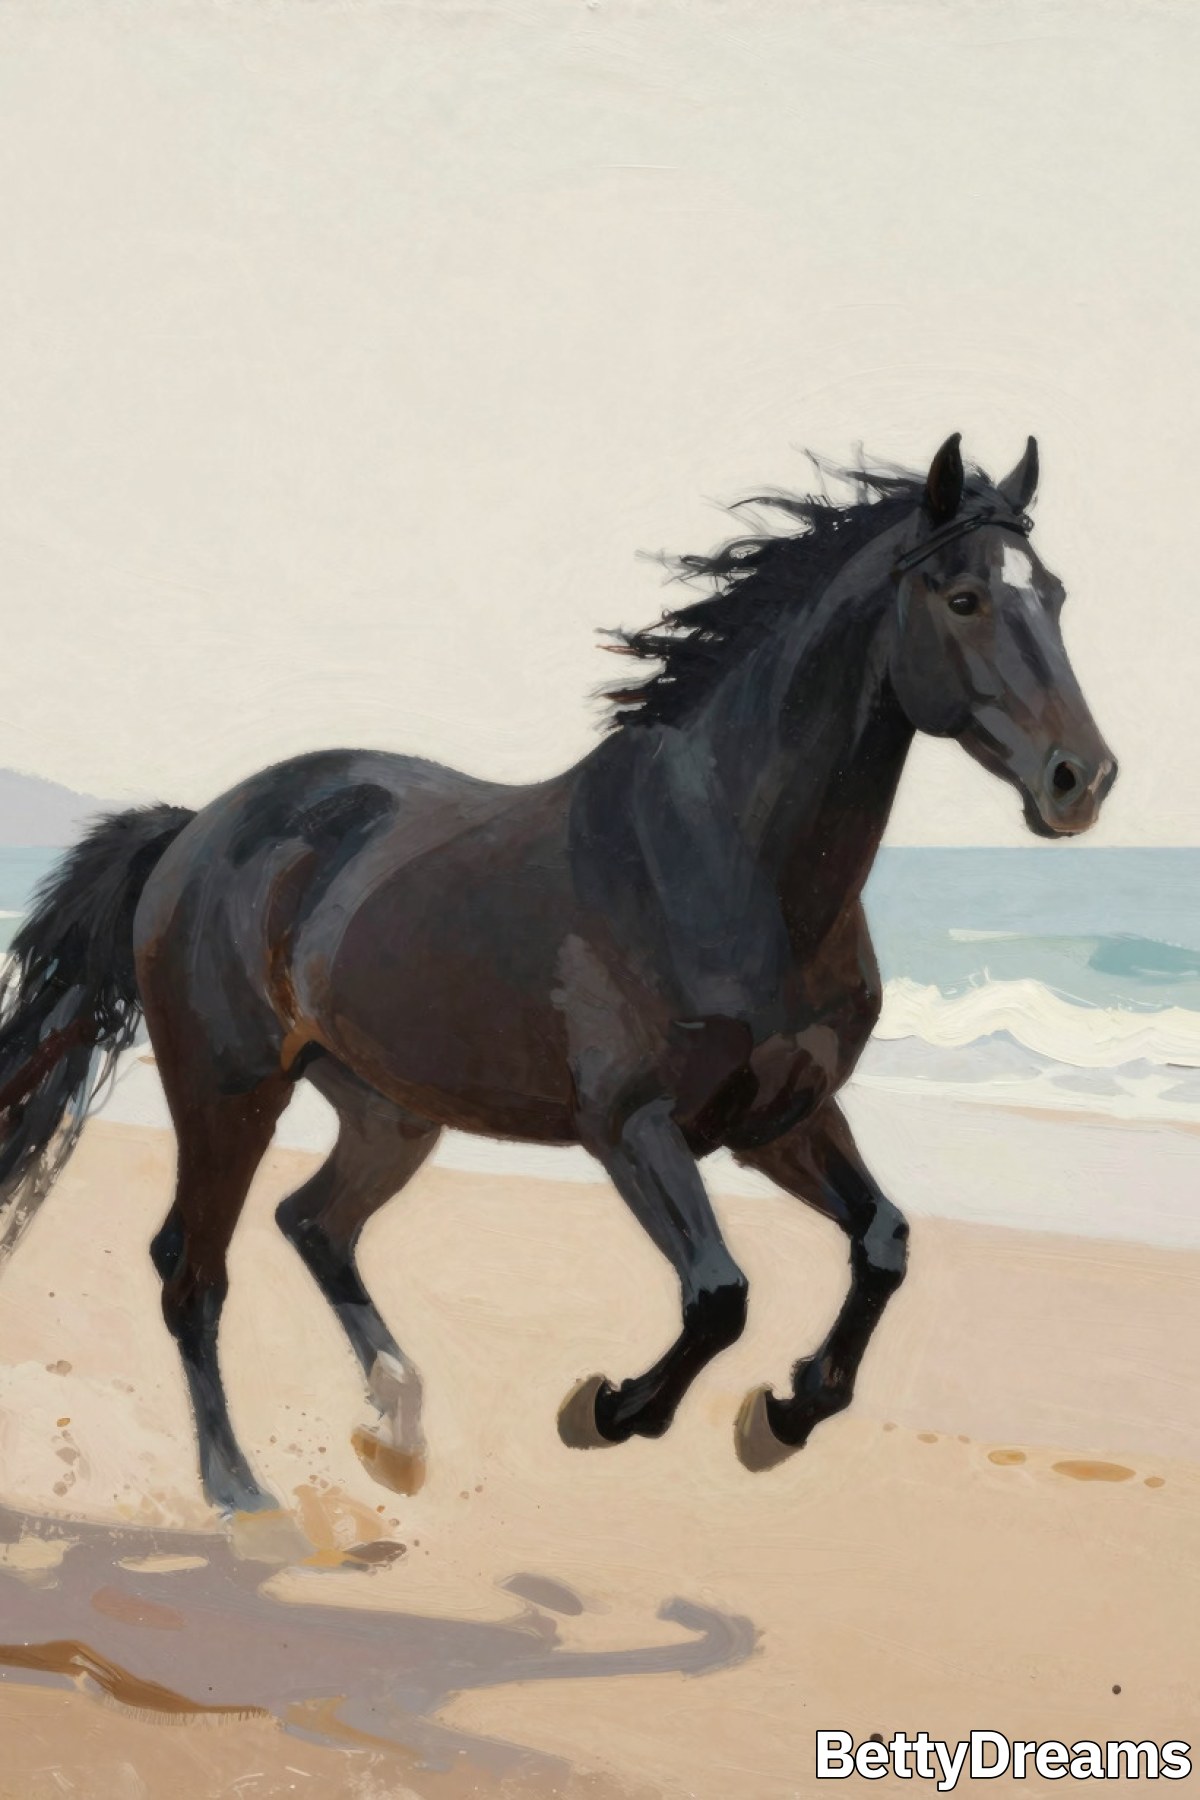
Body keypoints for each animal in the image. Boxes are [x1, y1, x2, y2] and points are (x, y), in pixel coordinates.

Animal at [0, 433, 1116, 1514]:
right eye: (964, 597)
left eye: (1057, 594)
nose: (1083, 781)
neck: (725, 859)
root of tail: (197, 827)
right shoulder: (631, 1127)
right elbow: (720, 1294)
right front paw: (612, 1409)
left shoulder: (781, 1121)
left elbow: (882, 1244)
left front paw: (788, 1412)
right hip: (228, 1092)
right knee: (193, 1271)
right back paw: (239, 1487)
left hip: (389, 1111)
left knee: (313, 1223)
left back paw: (395, 1428)